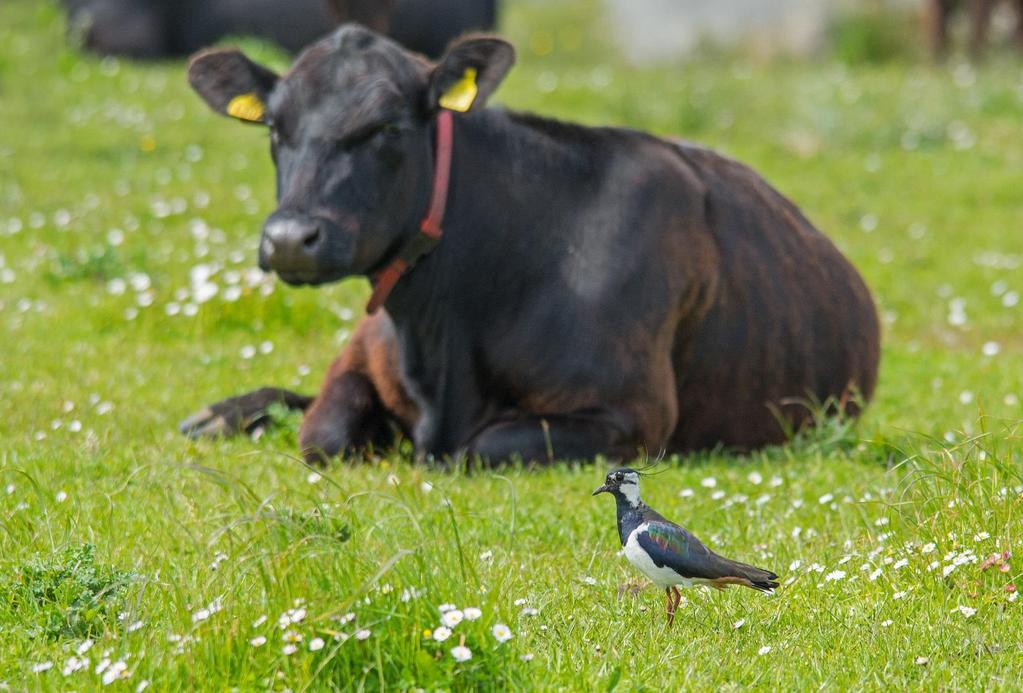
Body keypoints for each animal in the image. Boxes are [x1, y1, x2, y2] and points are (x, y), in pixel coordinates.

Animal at [182, 25, 879, 464]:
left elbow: (471, 450)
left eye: (387, 127)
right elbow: (321, 431)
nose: (289, 239)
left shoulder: (630, 414)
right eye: (275, 127)